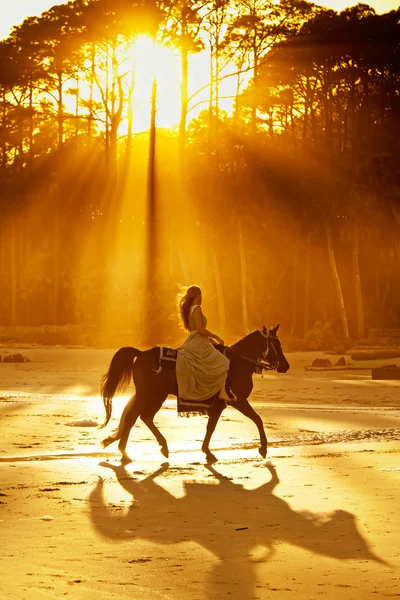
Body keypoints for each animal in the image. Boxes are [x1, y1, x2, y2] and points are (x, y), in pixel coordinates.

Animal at [99, 326, 288, 462]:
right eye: (276, 344)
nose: (286, 366)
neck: (238, 363)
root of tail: (141, 354)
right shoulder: (237, 400)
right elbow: (256, 419)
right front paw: (263, 448)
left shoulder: (220, 405)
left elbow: (212, 427)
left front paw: (207, 451)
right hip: (147, 394)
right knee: (132, 417)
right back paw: (125, 453)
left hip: (157, 395)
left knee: (145, 417)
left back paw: (162, 447)